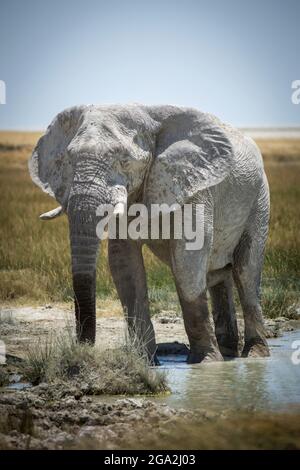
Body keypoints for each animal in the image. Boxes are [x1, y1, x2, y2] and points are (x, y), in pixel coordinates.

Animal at [29, 105, 270, 364]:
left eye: (125, 161)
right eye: (69, 160)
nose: (83, 349)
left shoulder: (194, 186)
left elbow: (188, 257)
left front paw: (204, 363)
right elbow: (124, 262)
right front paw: (145, 361)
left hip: (259, 198)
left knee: (246, 272)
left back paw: (254, 355)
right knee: (218, 274)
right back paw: (228, 352)